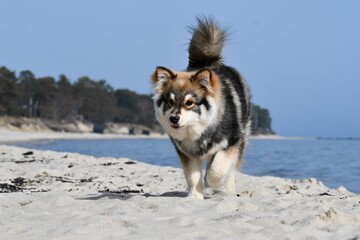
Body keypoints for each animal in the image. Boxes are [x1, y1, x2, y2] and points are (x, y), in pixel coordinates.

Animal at [151, 16, 250, 199]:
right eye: (170, 102)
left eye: (189, 102)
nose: (173, 118)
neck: (198, 129)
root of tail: (208, 63)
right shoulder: (186, 153)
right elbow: (193, 175)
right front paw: (195, 197)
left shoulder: (230, 143)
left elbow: (216, 171)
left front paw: (212, 184)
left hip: (242, 137)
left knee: (229, 170)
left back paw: (228, 190)